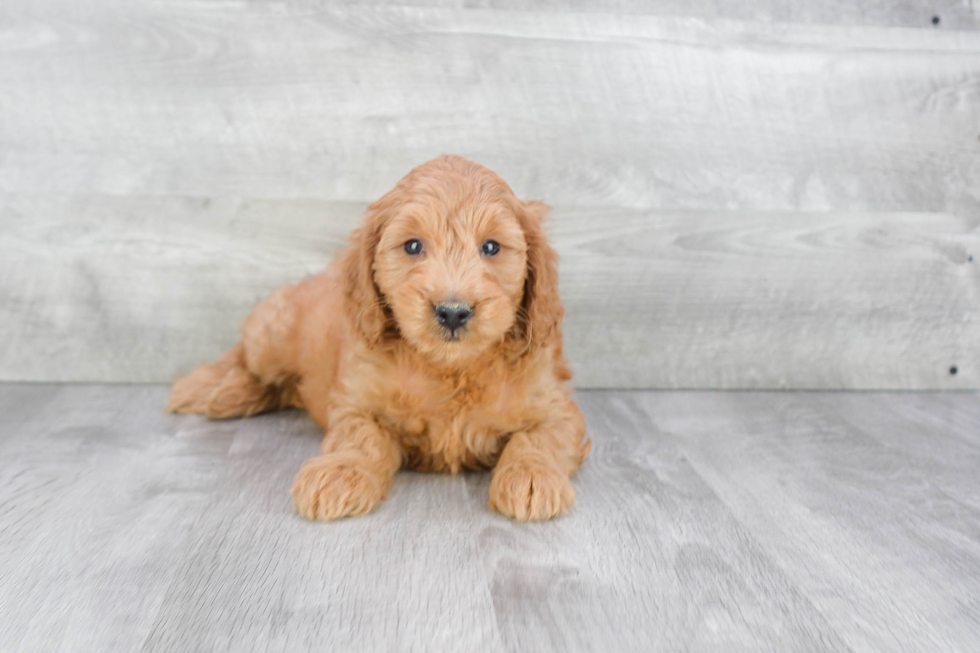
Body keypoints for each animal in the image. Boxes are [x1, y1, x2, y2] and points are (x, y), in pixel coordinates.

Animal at [168, 155, 588, 524]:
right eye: (413, 245)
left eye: (491, 247)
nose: (453, 311)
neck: (450, 367)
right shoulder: (356, 401)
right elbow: (361, 437)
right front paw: (340, 472)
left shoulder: (557, 406)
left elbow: (539, 438)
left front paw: (532, 477)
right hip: (271, 336)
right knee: (243, 357)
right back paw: (212, 389)